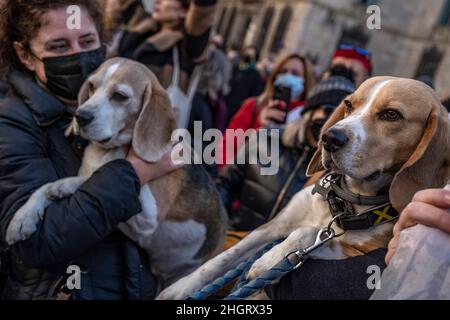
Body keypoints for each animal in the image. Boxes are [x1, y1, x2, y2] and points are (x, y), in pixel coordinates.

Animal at [7, 58, 229, 290]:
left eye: (120, 96)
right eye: (92, 86)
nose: (80, 116)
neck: (109, 150)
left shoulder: (147, 217)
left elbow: (92, 177)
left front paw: (64, 186)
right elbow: (45, 187)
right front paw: (23, 217)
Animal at [158, 76, 450, 298]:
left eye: (391, 114)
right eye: (349, 104)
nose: (330, 138)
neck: (344, 203)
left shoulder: (354, 251)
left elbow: (308, 233)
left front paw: (270, 260)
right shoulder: (273, 226)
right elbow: (220, 260)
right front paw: (179, 289)